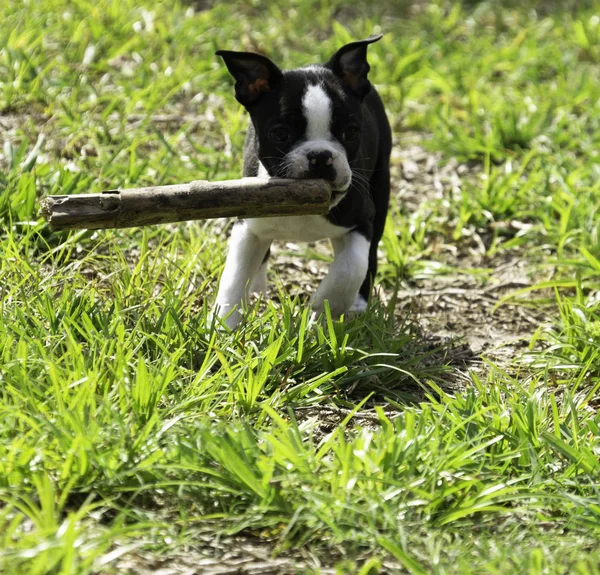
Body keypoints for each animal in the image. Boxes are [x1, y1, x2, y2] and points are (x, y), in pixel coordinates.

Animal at [213, 36, 392, 328]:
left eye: (351, 132)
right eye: (280, 134)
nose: (320, 156)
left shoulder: (362, 219)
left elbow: (350, 267)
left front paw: (323, 310)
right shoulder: (247, 226)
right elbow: (234, 277)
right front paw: (222, 327)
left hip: (381, 185)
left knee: (369, 256)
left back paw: (357, 303)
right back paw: (258, 290)